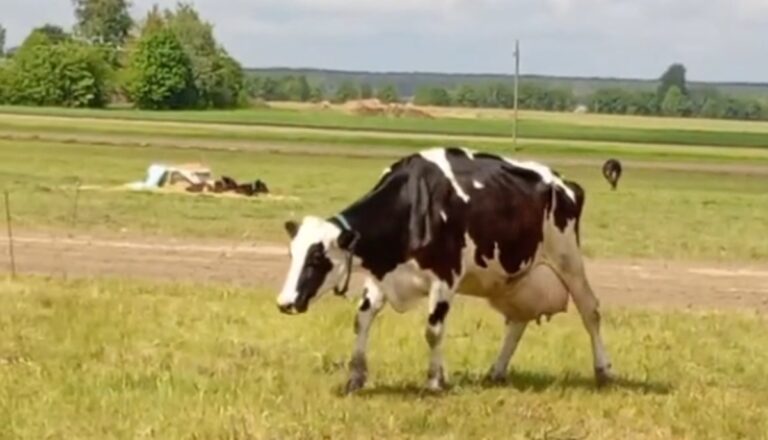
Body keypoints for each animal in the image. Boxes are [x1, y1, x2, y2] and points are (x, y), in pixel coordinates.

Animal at [277, 147, 614, 393]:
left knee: (590, 311)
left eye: (317, 258)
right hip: (516, 279)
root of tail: (563, 182)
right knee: (518, 322)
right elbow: (361, 321)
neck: (414, 206)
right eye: (292, 253)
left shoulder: (444, 278)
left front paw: (435, 381)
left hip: (568, 259)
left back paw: (604, 370)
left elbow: (433, 331)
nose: (285, 302)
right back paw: (496, 371)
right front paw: (355, 379)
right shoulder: (380, 276)